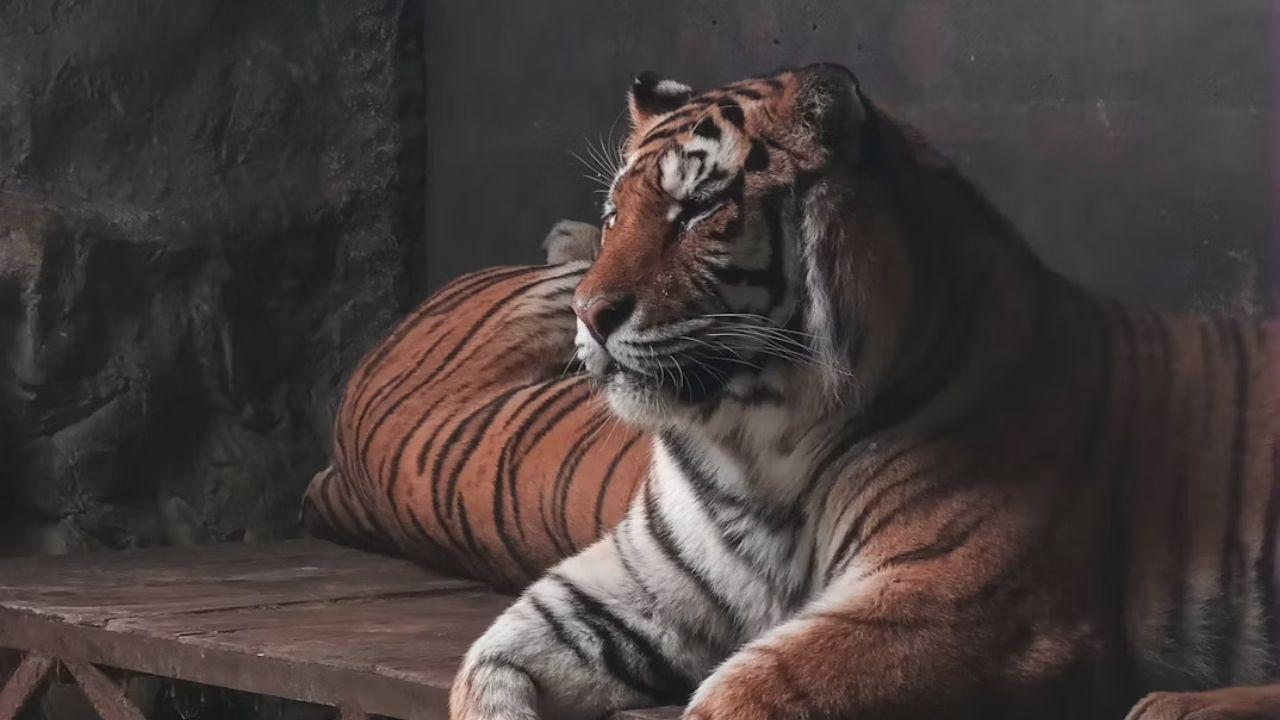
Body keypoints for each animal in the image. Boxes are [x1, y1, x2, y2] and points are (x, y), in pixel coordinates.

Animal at [306, 64, 1280, 720]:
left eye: (699, 211)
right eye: (621, 213)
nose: (591, 312)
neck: (752, 444)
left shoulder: (950, 600)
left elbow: (739, 693)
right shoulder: (633, 592)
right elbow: (488, 664)